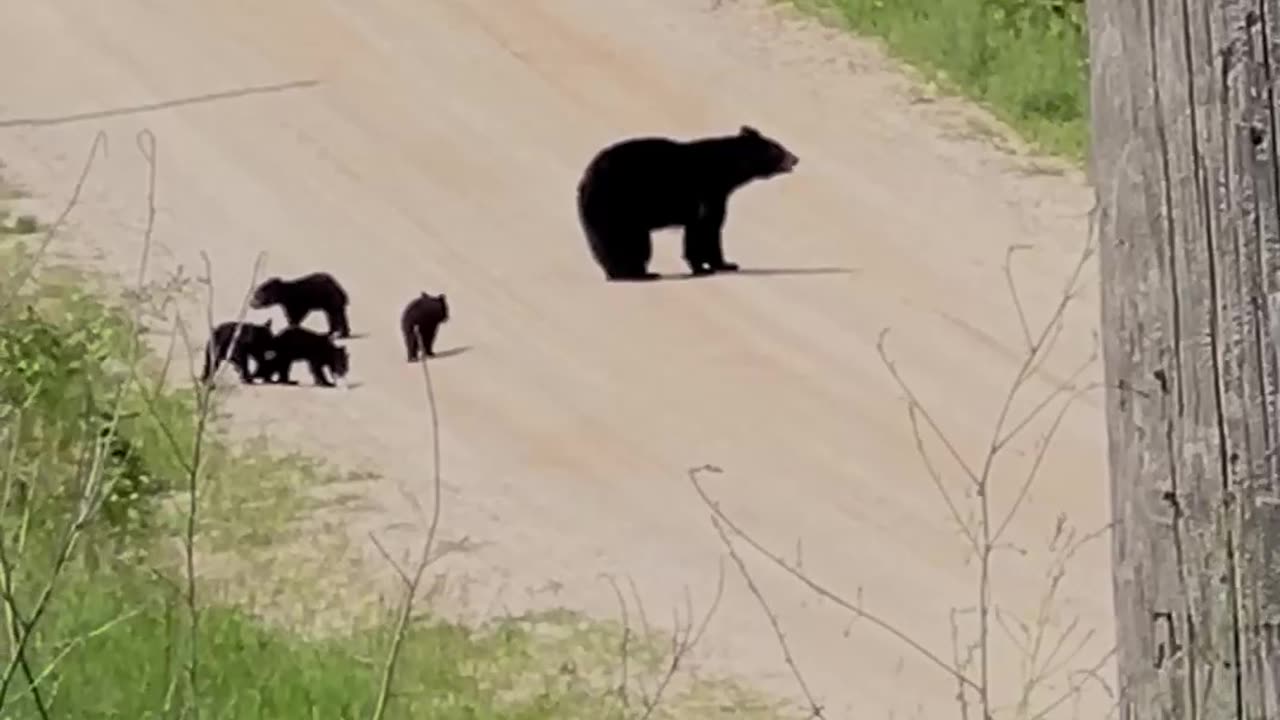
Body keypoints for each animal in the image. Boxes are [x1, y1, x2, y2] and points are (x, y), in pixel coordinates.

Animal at [573, 122, 793, 280]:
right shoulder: (707, 191)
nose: (795, 158)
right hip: (617, 208)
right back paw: (640, 273)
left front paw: (723, 264)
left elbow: (705, 230)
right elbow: (705, 228)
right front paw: (709, 267)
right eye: (778, 148)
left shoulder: (716, 194)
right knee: (631, 243)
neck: (726, 170)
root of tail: (583, 183)